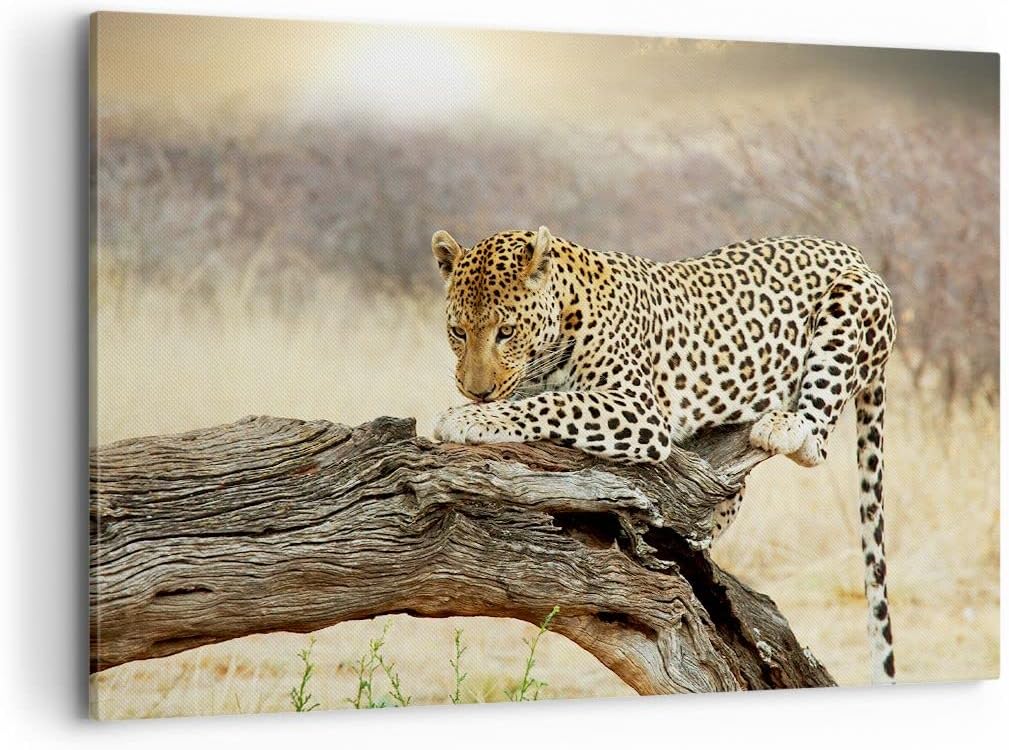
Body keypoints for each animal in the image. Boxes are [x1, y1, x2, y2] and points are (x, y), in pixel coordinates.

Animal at [430, 226, 897, 685]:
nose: (475, 391)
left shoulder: (638, 408)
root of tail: (853, 251)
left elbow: (553, 404)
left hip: (851, 301)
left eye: (506, 332)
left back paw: (784, 426)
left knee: (815, 440)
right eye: (457, 332)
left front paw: (468, 418)